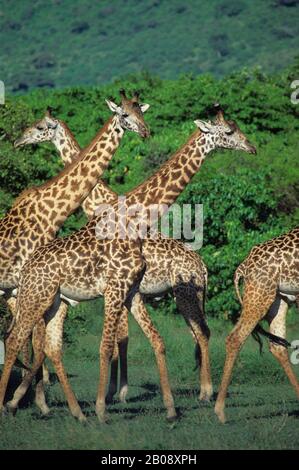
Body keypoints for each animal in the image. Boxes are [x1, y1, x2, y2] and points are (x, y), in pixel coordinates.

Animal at [0, 106, 258, 422]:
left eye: (39, 127)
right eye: (231, 131)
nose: (252, 147)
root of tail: (203, 266)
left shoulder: (125, 290)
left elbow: (127, 340)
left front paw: (119, 396)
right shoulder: (118, 290)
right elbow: (119, 340)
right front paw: (114, 395)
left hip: (181, 294)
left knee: (201, 332)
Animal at [216, 226, 299, 424]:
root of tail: (243, 267)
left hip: (278, 299)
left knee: (277, 344)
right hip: (260, 294)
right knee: (235, 338)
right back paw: (220, 412)